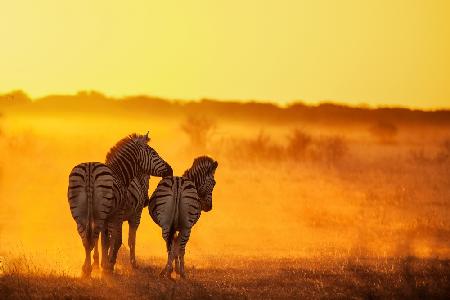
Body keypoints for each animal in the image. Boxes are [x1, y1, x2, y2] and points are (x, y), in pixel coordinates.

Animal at [67, 132, 172, 278]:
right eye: (154, 153)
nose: (170, 170)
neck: (120, 173)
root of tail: (89, 169)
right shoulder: (119, 214)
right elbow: (119, 240)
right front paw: (110, 266)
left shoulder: (109, 217)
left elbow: (106, 241)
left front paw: (104, 264)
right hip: (101, 213)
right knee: (93, 238)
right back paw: (89, 269)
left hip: (79, 213)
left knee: (86, 239)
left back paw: (86, 269)